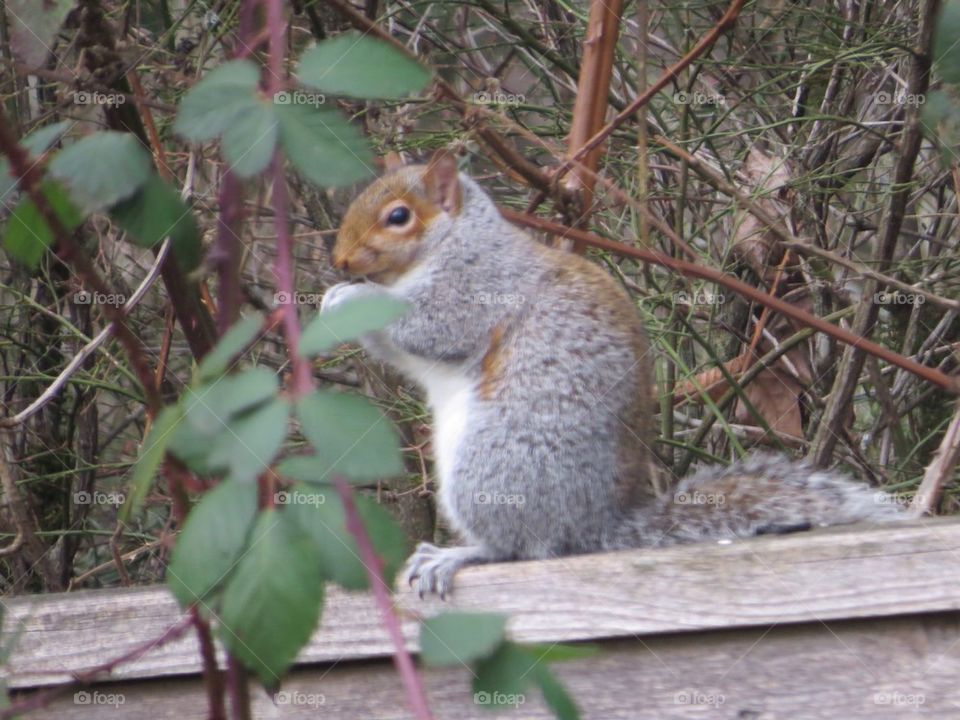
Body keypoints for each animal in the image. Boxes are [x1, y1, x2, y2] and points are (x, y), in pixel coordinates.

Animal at [324, 152, 908, 596]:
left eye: (398, 216)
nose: (341, 262)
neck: (451, 241)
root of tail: (594, 530)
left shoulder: (477, 287)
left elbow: (431, 327)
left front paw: (351, 299)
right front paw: (334, 297)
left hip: (495, 466)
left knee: (523, 547)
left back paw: (459, 554)